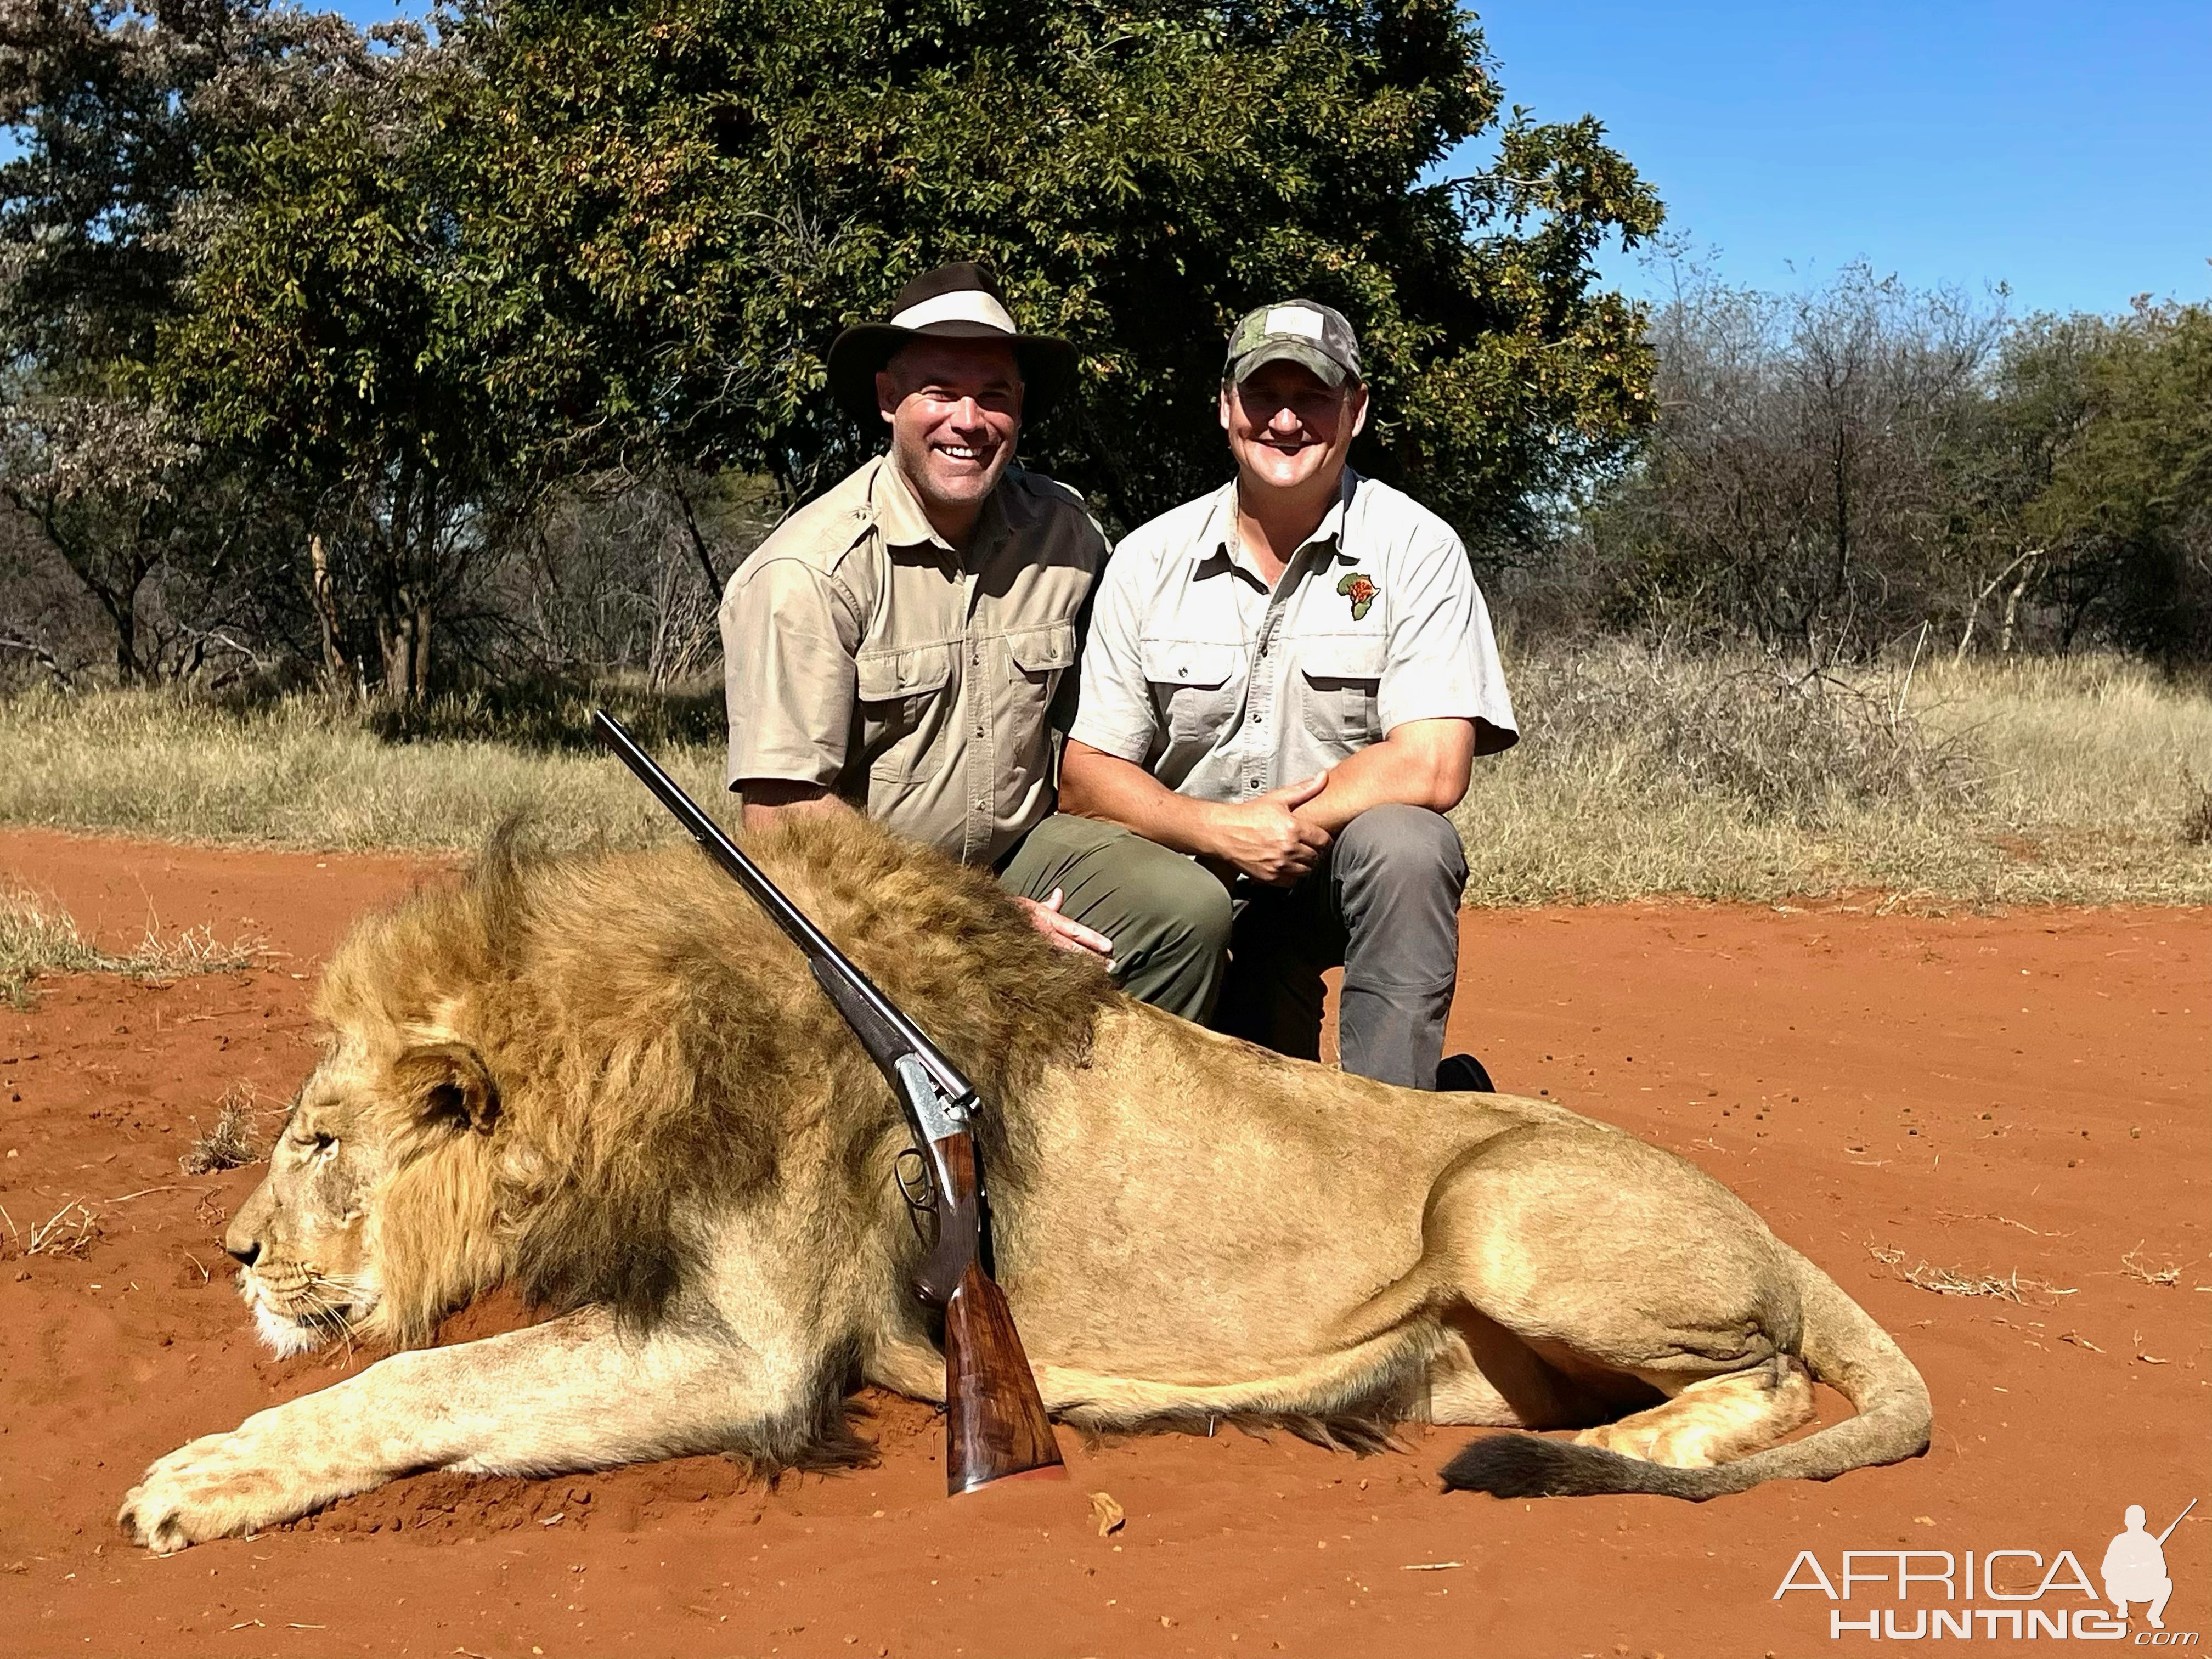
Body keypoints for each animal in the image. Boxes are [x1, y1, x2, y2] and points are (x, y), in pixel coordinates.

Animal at [116, 818, 1920, 1557]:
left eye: (319, 1142)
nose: (232, 1254)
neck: (623, 1050)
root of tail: (1770, 1223)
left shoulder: (748, 1358)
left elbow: (420, 1381)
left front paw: (192, 1481)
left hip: (1498, 1212)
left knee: (1771, 1381)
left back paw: (1625, 1459)